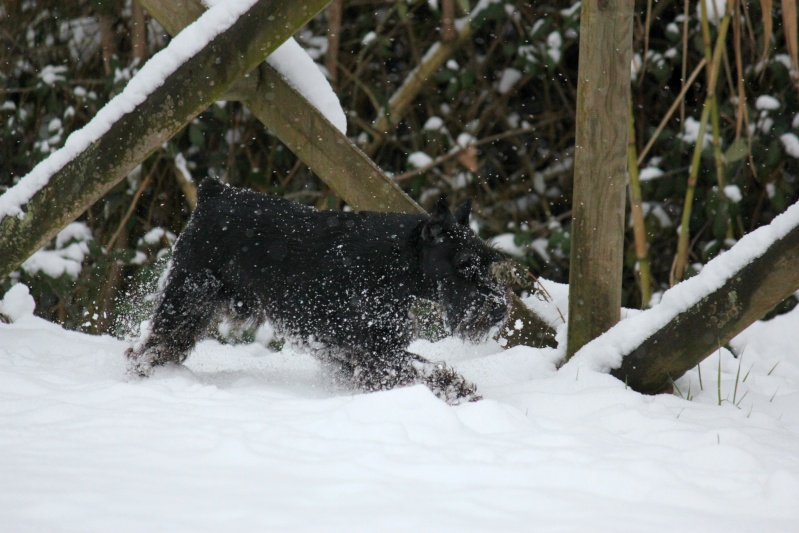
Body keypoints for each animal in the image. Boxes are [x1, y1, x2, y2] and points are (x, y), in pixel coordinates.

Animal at [126, 177, 512, 402]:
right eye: (464, 263)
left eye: (489, 261)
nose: (499, 307)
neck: (395, 260)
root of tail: (213, 192)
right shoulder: (375, 351)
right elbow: (425, 370)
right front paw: (460, 393)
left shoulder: (364, 350)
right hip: (189, 297)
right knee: (154, 343)